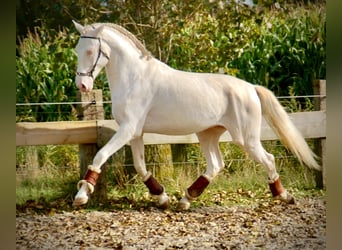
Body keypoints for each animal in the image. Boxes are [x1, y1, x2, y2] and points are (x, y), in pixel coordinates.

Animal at [72, 21, 320, 209]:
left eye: (90, 51)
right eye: (76, 50)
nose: (82, 85)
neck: (135, 78)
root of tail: (251, 88)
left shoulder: (128, 129)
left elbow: (100, 155)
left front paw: (82, 196)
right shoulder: (135, 133)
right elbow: (140, 166)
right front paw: (162, 198)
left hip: (245, 139)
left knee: (267, 159)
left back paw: (284, 196)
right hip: (208, 134)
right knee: (216, 165)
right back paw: (185, 199)